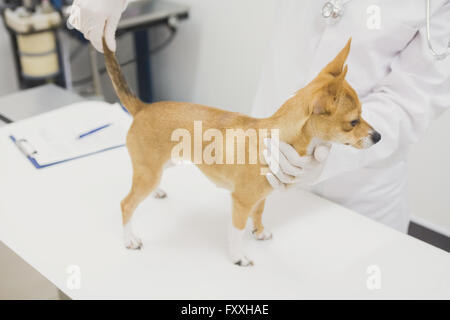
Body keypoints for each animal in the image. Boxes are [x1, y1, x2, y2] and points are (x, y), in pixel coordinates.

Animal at [104, 38, 380, 266]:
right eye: (353, 122)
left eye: (363, 114)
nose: (378, 136)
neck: (275, 137)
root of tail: (142, 108)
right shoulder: (240, 201)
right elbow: (236, 230)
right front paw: (238, 256)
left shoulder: (261, 196)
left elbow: (258, 213)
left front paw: (259, 231)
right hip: (147, 174)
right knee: (126, 204)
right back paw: (129, 238)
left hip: (160, 166)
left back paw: (158, 192)